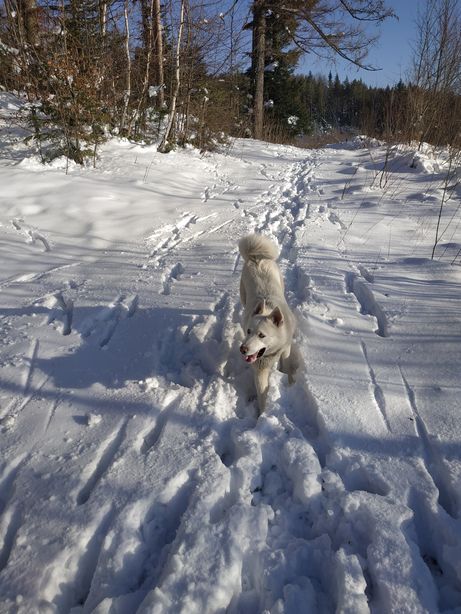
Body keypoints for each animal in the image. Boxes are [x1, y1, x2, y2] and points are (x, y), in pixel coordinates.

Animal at [239, 233, 296, 416]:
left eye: (261, 335)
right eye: (248, 331)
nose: (242, 349)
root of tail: (256, 258)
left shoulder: (286, 348)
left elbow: (286, 366)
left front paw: (287, 380)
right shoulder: (259, 369)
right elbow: (262, 394)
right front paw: (262, 416)